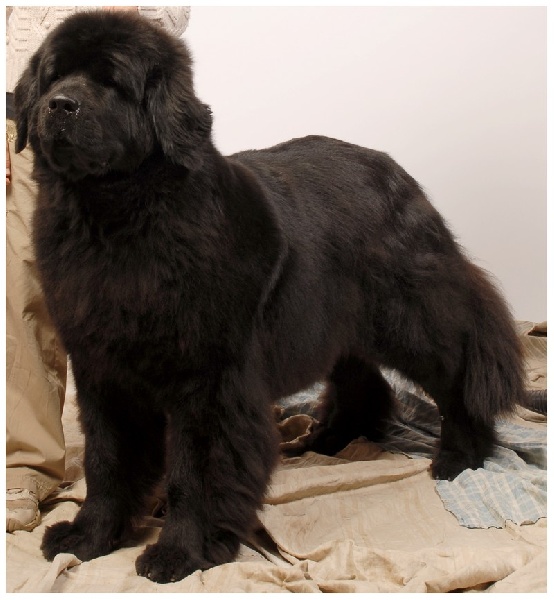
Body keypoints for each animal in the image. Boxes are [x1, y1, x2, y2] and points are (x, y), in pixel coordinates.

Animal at [14, 11, 525, 583]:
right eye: (54, 76)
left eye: (111, 82)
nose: (60, 104)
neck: (115, 221)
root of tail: (393, 169)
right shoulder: (103, 371)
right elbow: (106, 461)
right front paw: (89, 536)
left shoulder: (208, 382)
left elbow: (195, 472)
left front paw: (182, 551)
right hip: (332, 319)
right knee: (362, 379)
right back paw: (327, 439)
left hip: (408, 316)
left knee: (461, 371)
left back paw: (460, 454)